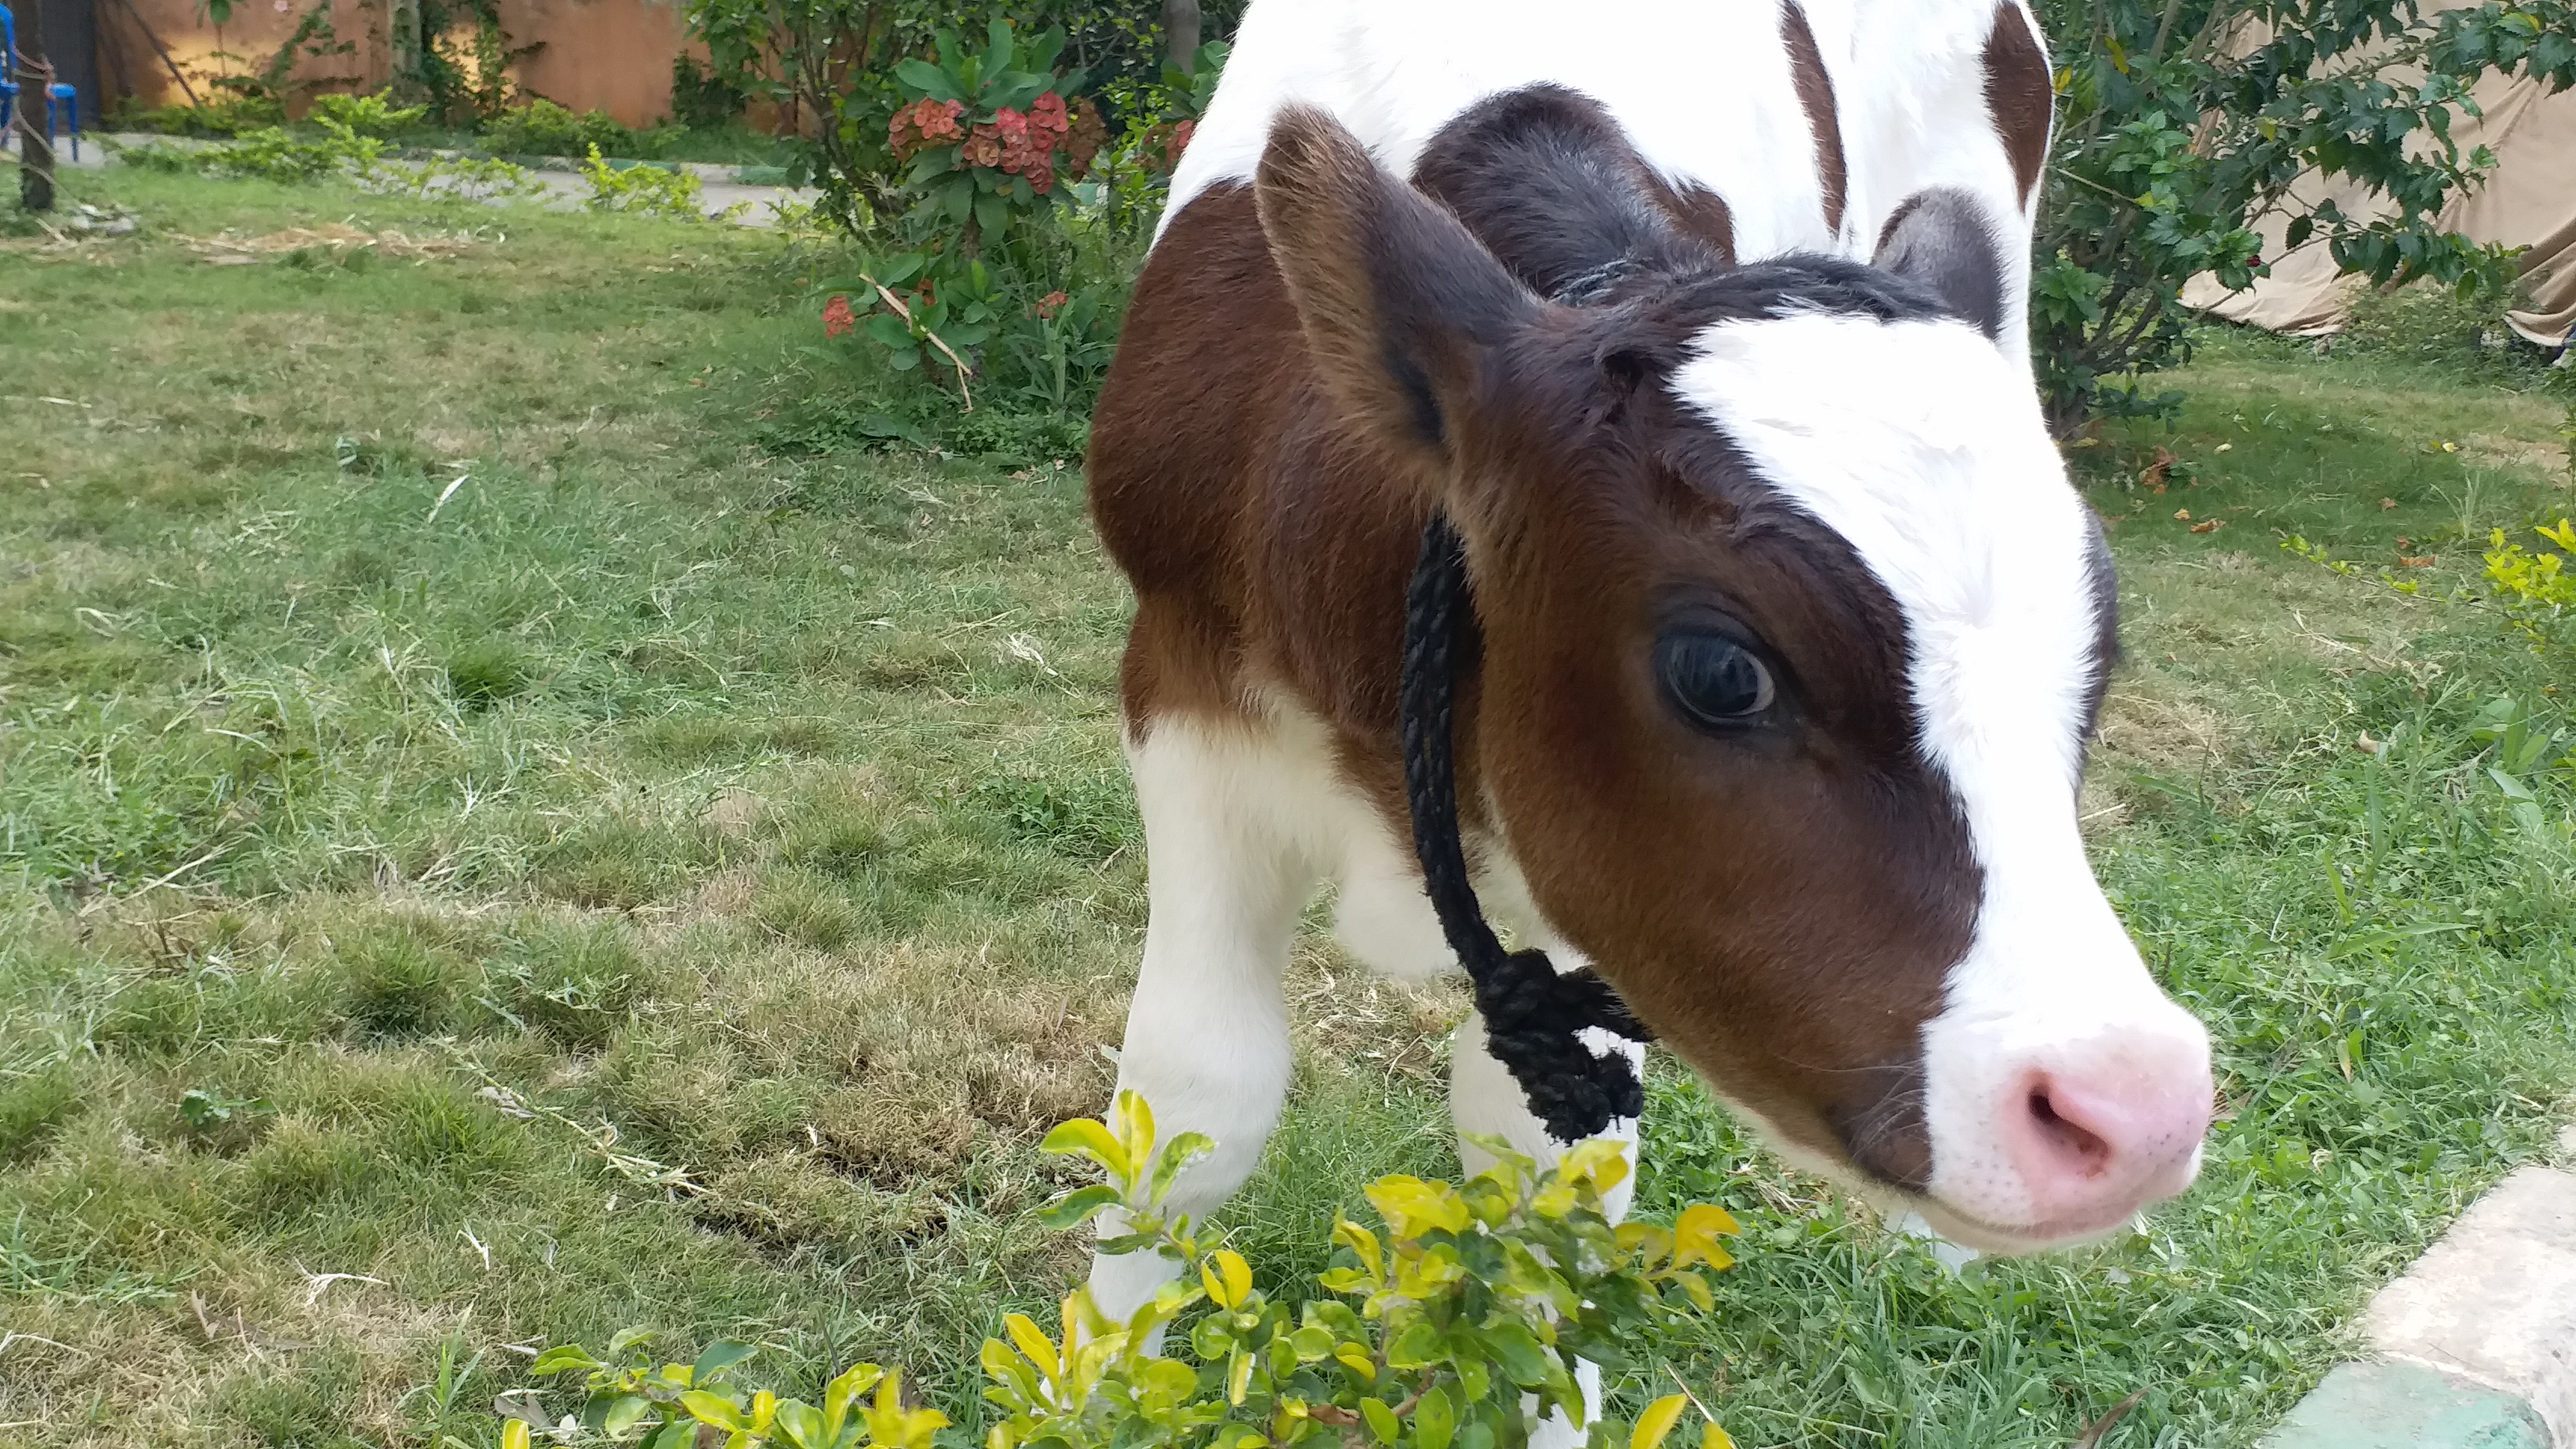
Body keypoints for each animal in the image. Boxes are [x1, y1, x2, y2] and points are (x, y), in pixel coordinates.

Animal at [1077, 0, 2205, 1330]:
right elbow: (1190, 1101)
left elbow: (1549, 1165)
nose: (2138, 1108)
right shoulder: (1184, 688)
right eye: (1721, 673)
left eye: (2094, 661)